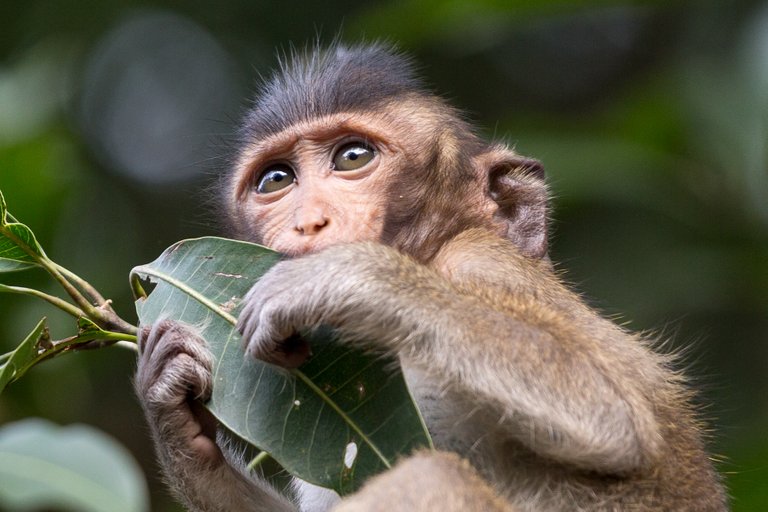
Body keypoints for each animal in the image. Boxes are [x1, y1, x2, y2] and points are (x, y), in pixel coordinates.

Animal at [135, 45, 728, 512]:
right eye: (276, 180)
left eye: (352, 157)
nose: (308, 222)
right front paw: (172, 406)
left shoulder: (482, 264)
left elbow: (613, 416)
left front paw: (347, 279)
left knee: (432, 473)